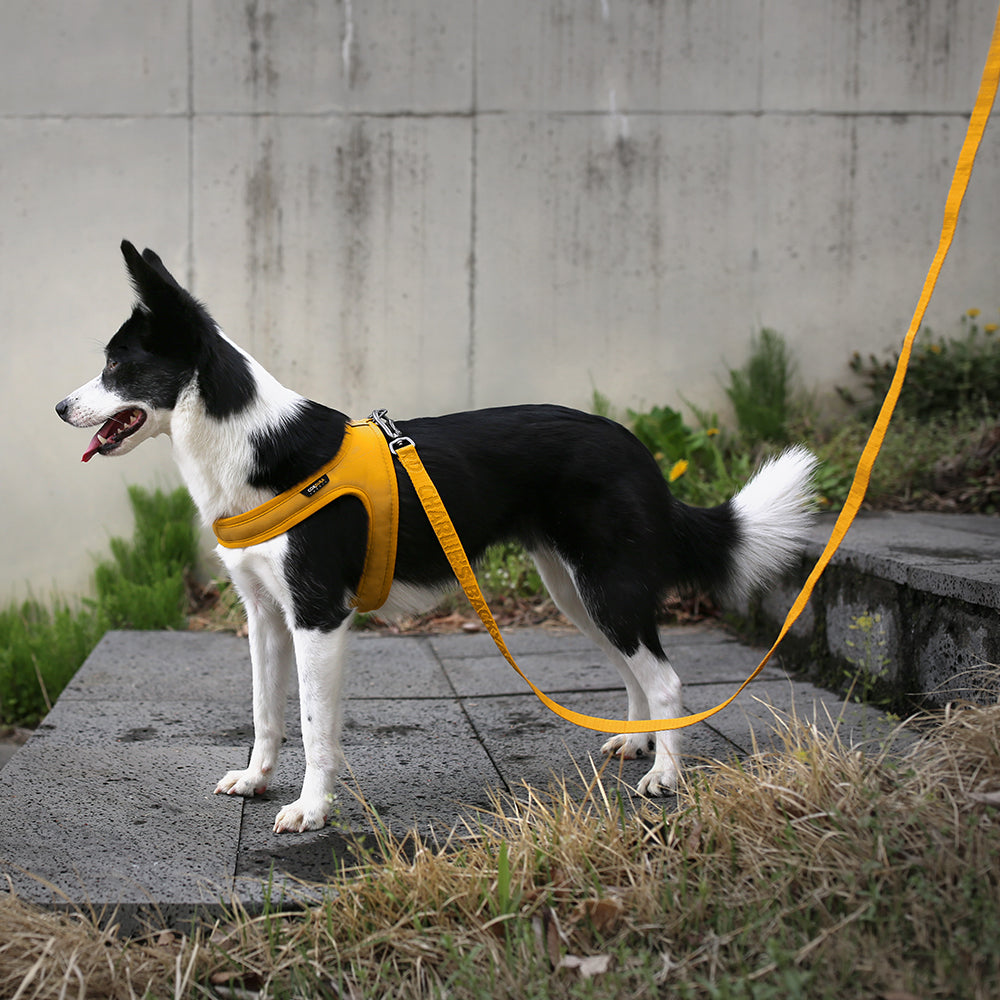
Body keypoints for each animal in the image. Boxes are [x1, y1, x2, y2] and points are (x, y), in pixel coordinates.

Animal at [54, 244, 816, 836]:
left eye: (117, 367)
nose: (59, 407)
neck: (249, 443)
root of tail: (638, 450)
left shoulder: (319, 617)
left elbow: (315, 726)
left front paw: (311, 810)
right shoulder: (265, 615)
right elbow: (266, 712)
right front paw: (257, 779)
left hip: (606, 584)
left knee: (666, 678)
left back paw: (665, 777)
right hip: (577, 592)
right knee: (637, 671)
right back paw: (635, 746)